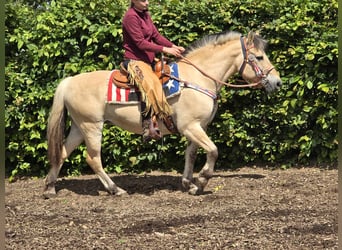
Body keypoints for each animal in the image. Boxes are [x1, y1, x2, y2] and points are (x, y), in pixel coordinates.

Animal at [44, 31, 282, 198]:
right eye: (259, 57)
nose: (277, 82)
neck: (197, 78)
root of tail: (69, 81)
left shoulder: (198, 127)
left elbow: (191, 154)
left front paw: (189, 183)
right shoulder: (190, 126)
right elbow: (213, 151)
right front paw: (202, 180)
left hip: (79, 127)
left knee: (62, 153)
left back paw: (49, 187)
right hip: (92, 126)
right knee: (93, 158)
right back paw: (115, 189)